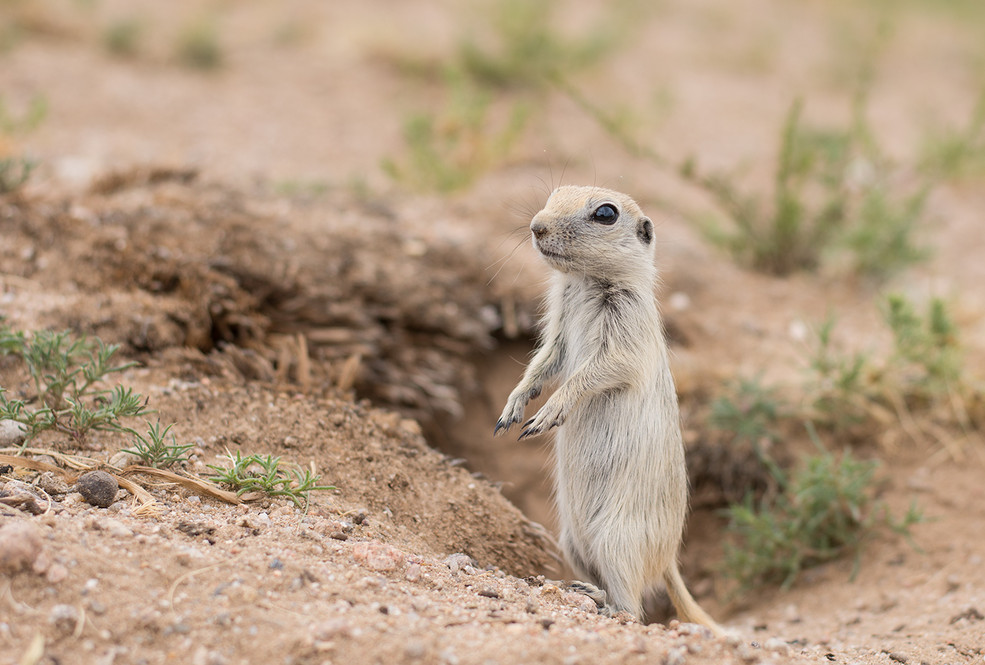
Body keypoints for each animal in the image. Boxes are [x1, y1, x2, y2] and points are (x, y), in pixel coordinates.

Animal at [496, 183, 720, 632]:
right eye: (555, 192)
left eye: (605, 213)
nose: (536, 225)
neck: (584, 281)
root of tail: (668, 561)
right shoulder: (559, 328)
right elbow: (544, 362)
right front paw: (512, 409)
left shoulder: (626, 333)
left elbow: (594, 372)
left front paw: (547, 414)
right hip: (573, 543)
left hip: (617, 541)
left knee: (633, 608)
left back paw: (599, 601)